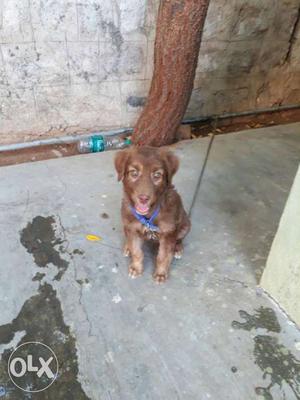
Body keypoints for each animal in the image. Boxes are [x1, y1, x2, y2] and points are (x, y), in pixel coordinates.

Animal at [114, 146, 190, 282]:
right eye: (134, 173)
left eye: (157, 175)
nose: (143, 199)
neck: (149, 215)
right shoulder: (132, 228)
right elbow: (136, 251)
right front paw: (136, 268)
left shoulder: (168, 232)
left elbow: (163, 256)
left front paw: (161, 273)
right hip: (125, 225)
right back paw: (127, 247)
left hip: (185, 225)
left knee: (179, 238)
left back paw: (178, 249)